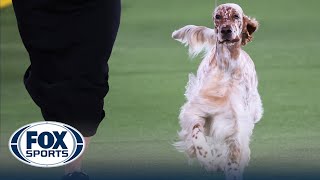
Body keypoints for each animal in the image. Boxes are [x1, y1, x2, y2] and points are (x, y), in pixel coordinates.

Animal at [172, 3, 262, 180]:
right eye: (218, 16)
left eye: (236, 16)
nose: (226, 30)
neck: (227, 64)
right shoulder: (199, 108)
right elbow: (197, 135)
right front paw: (208, 160)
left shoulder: (236, 120)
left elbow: (234, 153)